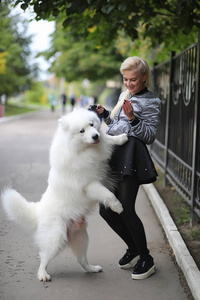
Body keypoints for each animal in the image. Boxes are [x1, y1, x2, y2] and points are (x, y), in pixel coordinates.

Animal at [1, 108, 128, 282]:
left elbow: (108, 138)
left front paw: (121, 138)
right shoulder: (90, 184)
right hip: (56, 239)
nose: (95, 136)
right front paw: (117, 206)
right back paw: (43, 275)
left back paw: (92, 269)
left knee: (82, 260)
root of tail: (38, 211)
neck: (82, 150)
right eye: (81, 131)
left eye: (91, 124)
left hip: (82, 238)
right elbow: (107, 194)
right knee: (43, 257)